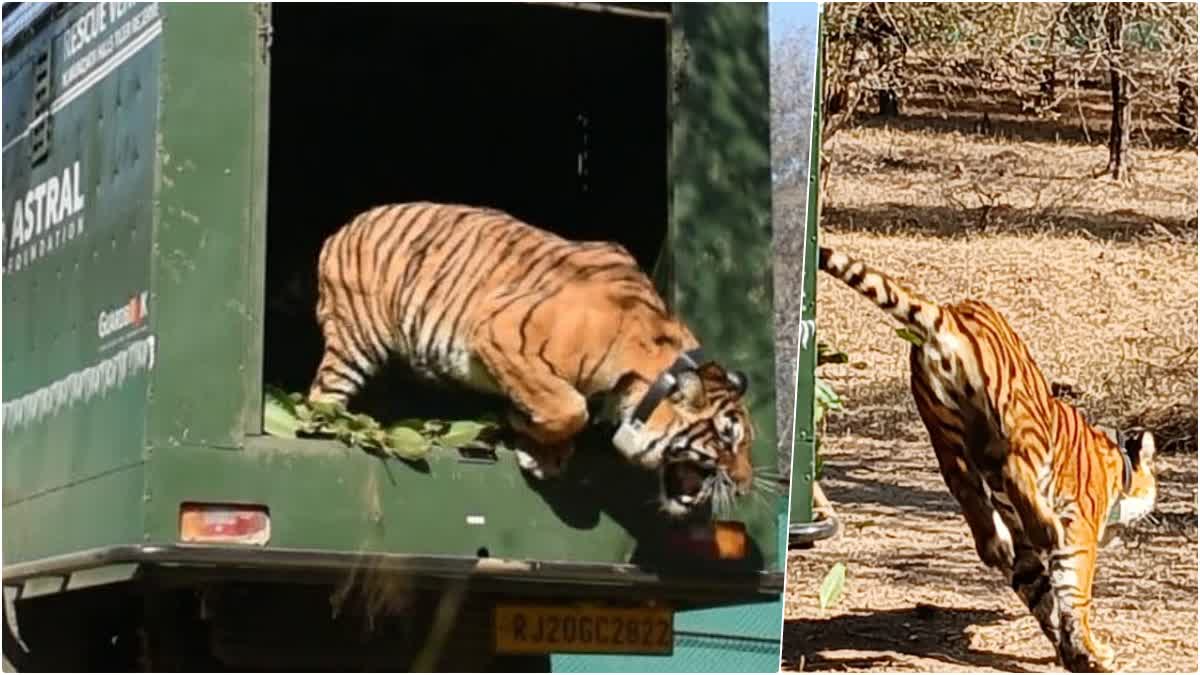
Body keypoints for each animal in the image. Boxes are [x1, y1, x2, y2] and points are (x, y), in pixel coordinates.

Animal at [304, 199, 753, 514]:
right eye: (728, 438)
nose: (746, 486)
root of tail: (340, 230)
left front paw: (542, 450)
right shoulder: (503, 333)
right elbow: (568, 407)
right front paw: (527, 429)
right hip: (355, 341)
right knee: (320, 398)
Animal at [820, 246, 1156, 667]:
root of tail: (948, 313)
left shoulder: (1029, 553)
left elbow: (1041, 594)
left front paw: (1071, 652)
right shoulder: (1079, 531)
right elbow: (1073, 595)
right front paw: (1092, 653)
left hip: (942, 426)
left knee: (962, 484)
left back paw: (994, 545)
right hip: (1022, 417)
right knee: (1013, 471)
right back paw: (1041, 529)